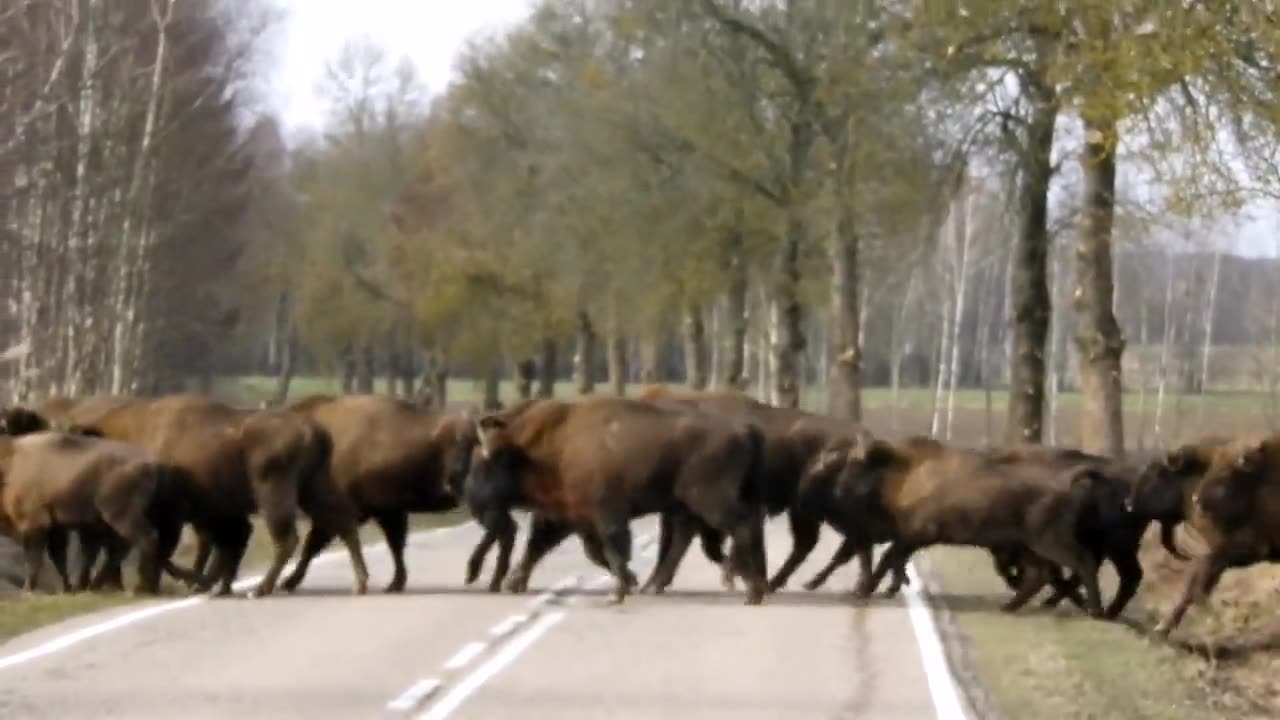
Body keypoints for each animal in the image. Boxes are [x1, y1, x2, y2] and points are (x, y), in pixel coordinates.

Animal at [0, 407, 197, 591]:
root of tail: (154, 465)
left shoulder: (36, 524)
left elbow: (36, 560)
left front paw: (29, 590)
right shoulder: (56, 527)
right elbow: (59, 559)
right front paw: (67, 588)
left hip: (119, 515)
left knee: (144, 542)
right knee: (129, 548)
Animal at [61, 392, 371, 594]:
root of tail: (313, 429)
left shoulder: (174, 515)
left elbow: (165, 546)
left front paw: (152, 585)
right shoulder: (211, 512)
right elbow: (219, 544)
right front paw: (210, 583)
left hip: (274, 492)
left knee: (288, 538)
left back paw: (262, 588)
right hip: (313, 488)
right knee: (343, 521)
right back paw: (359, 582)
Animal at [280, 392, 476, 589]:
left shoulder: (338, 512)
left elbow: (312, 546)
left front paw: (289, 581)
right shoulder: (388, 511)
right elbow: (396, 545)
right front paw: (396, 583)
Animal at [463, 394, 768, 602]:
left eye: (485, 465)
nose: (471, 500)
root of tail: (744, 431)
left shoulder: (605, 513)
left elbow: (612, 546)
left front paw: (620, 589)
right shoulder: (571, 516)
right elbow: (550, 546)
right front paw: (514, 582)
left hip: (710, 501)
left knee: (741, 527)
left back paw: (750, 591)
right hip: (688, 506)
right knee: (689, 537)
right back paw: (656, 585)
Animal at [1152, 430, 1280, 632]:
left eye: (1226, 473)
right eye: (1211, 467)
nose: (1196, 499)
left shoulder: (1249, 546)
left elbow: (1202, 571)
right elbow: (1198, 577)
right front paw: (1163, 627)